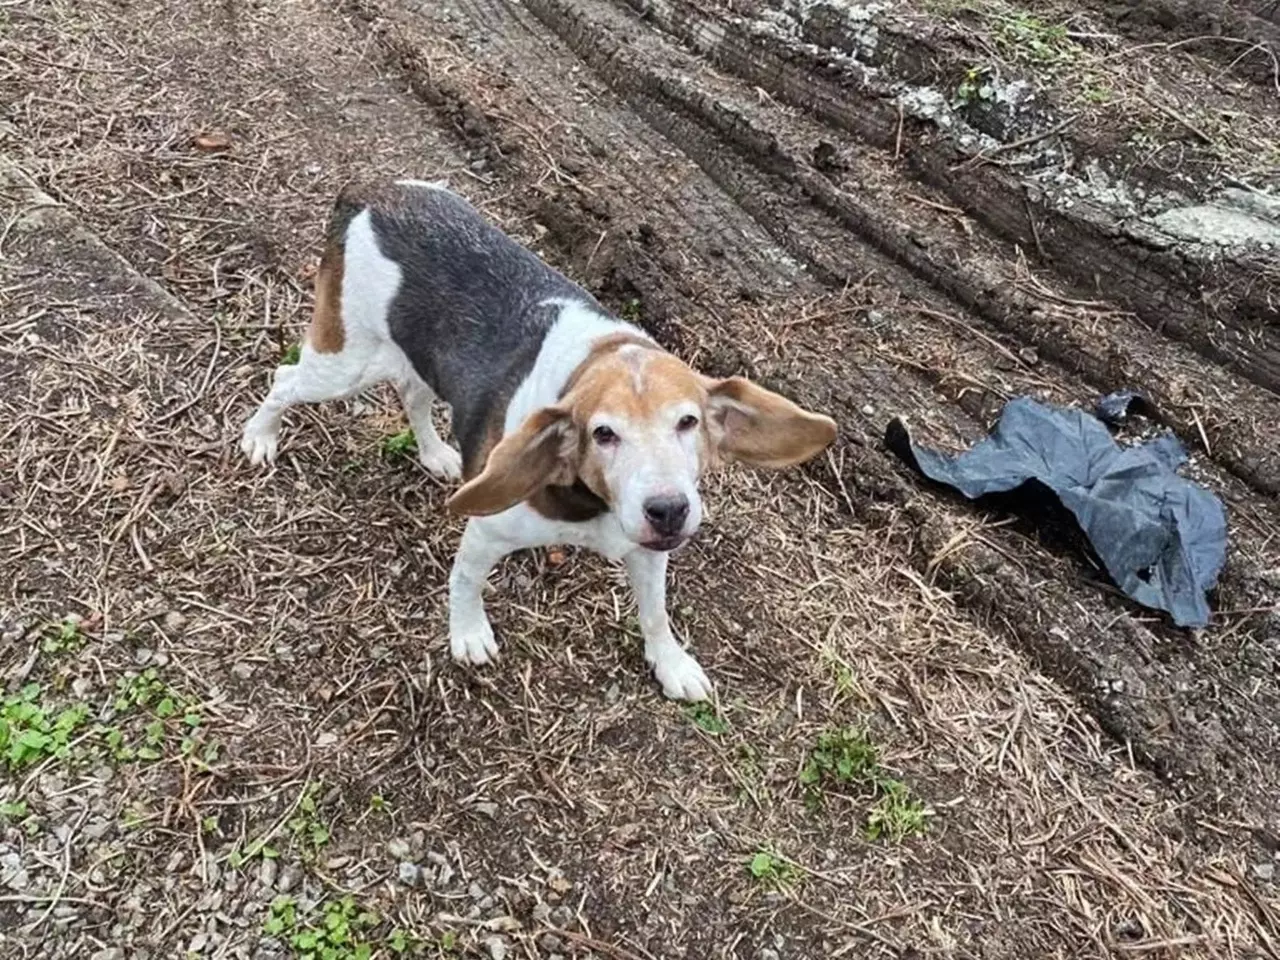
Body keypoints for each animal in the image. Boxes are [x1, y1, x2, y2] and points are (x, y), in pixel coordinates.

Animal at [240, 180, 839, 701]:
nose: (668, 509)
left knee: (411, 394)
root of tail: (370, 190)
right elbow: (465, 583)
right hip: (343, 364)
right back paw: (259, 437)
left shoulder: (648, 552)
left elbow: (655, 613)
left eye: (688, 422)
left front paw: (671, 664)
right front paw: (468, 633)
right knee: (284, 381)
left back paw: (434, 453)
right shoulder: (486, 533)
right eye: (603, 433)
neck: (591, 504)